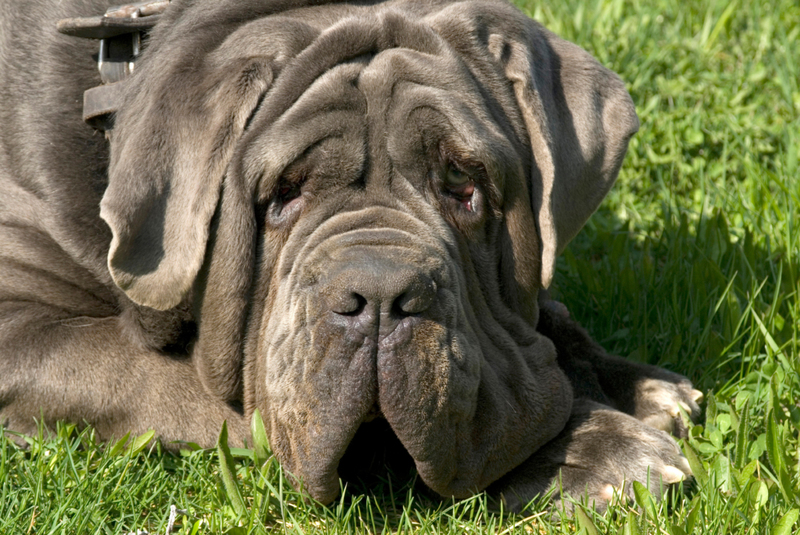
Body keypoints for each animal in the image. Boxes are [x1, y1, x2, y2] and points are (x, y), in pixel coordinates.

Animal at [0, 0, 700, 512]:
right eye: (283, 193)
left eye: (464, 184)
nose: (383, 296)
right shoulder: (21, 332)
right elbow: (214, 400)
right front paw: (592, 447)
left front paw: (632, 385)